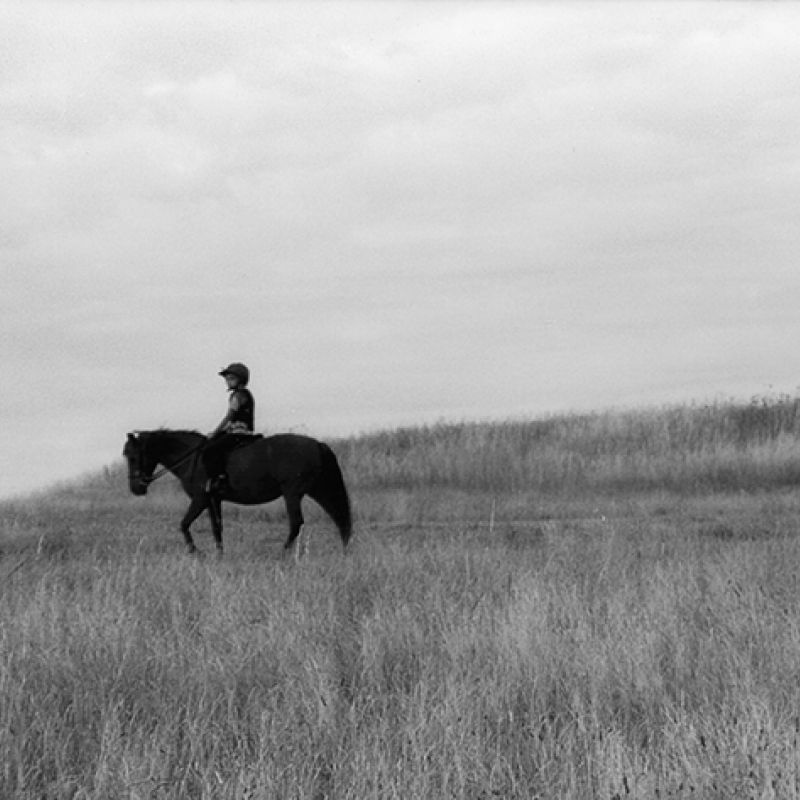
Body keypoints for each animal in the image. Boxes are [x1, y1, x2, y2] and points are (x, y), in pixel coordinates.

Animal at [122, 432, 354, 556]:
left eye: (132, 457)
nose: (135, 488)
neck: (192, 459)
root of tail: (317, 444)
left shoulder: (200, 499)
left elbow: (184, 524)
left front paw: (196, 552)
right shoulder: (214, 500)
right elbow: (216, 528)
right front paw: (219, 555)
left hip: (293, 493)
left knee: (297, 522)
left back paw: (282, 554)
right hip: (318, 490)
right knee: (338, 516)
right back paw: (344, 550)